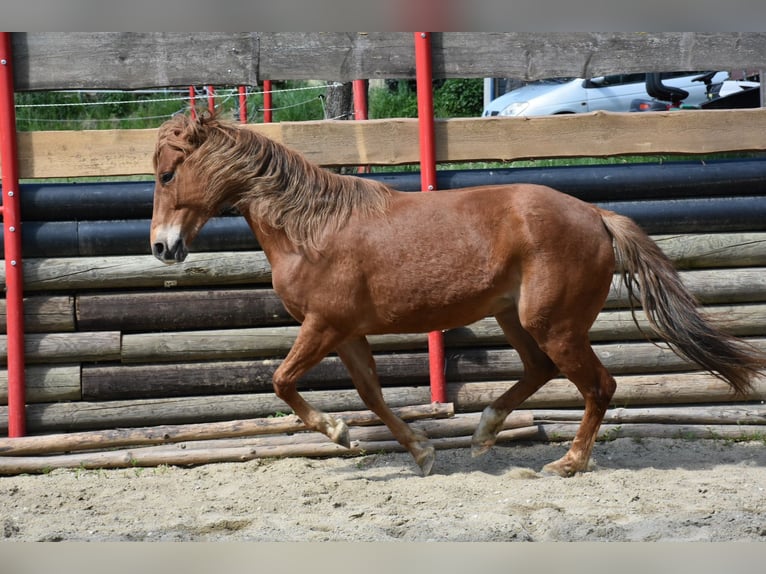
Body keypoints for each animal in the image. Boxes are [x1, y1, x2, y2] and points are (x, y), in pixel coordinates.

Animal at [150, 113, 766, 477]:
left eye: (166, 174)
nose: (162, 246)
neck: (313, 229)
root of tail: (596, 214)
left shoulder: (323, 326)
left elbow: (281, 381)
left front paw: (339, 433)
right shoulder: (346, 334)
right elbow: (372, 395)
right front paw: (420, 451)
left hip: (555, 325)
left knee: (599, 385)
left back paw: (567, 463)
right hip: (517, 320)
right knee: (540, 370)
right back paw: (485, 431)